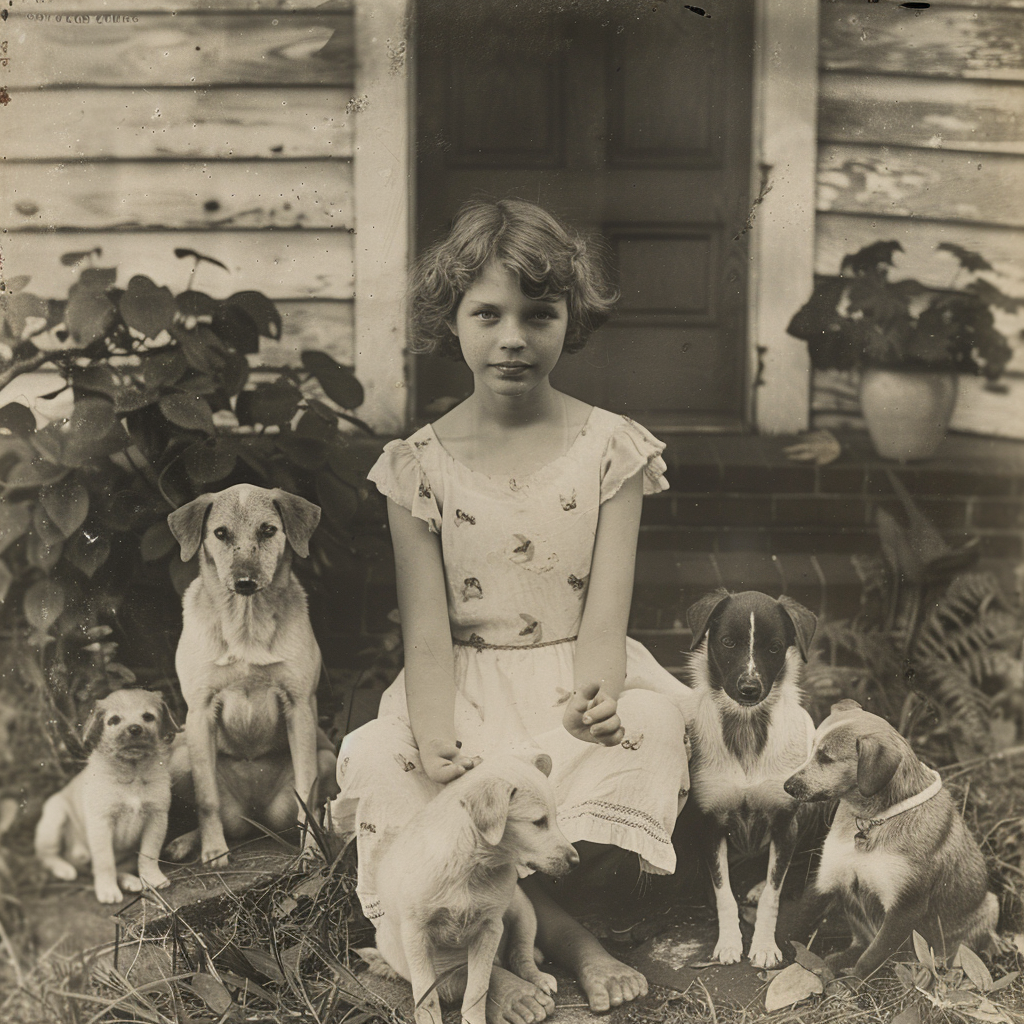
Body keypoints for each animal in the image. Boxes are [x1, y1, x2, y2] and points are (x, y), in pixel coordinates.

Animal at [34, 688, 178, 905]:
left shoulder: (157, 817)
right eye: (114, 720)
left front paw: (152, 878)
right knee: (46, 855)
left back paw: (130, 881)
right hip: (54, 818)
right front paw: (107, 890)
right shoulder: (101, 822)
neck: (132, 772)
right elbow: (105, 861)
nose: (134, 729)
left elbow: (149, 854)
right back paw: (64, 869)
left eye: (148, 717)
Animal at [164, 483, 331, 868]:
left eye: (268, 530)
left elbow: (307, 792)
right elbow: (206, 798)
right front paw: (213, 850)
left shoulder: (300, 707)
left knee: (317, 804)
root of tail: (255, 814)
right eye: (220, 533)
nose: (244, 582)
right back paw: (187, 841)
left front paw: (312, 850)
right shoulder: (199, 713)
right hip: (177, 757)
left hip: (328, 757)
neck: (246, 622)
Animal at [364, 753, 581, 1024]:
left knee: (520, 956)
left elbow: (478, 989)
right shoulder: (416, 933)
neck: (470, 866)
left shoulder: (489, 928)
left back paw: (539, 978)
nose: (576, 862)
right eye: (539, 822)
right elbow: (427, 997)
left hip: (524, 912)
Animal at [684, 589, 819, 962]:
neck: (746, 729)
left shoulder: (786, 822)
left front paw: (764, 947)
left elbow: (774, 893)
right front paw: (729, 942)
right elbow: (723, 892)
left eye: (774, 647)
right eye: (728, 642)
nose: (749, 688)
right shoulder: (709, 823)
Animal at [782, 700, 999, 978]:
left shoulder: (904, 908)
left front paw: (852, 984)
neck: (872, 820)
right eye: (811, 751)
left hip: (988, 909)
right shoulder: (827, 879)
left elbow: (872, 956)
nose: (787, 786)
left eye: (826, 758)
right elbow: (798, 921)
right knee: (859, 942)